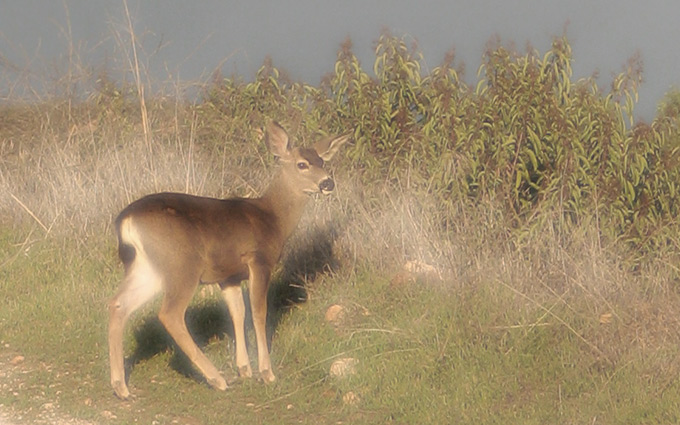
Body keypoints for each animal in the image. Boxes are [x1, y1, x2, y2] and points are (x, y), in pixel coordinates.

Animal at [107, 121, 350, 400]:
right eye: (302, 164)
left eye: (322, 161)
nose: (328, 183)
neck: (273, 219)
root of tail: (126, 221)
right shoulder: (258, 260)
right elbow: (258, 312)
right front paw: (266, 373)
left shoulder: (229, 276)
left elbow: (237, 312)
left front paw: (244, 368)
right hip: (182, 265)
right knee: (169, 314)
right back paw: (216, 379)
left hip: (147, 269)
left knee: (118, 304)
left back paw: (121, 387)